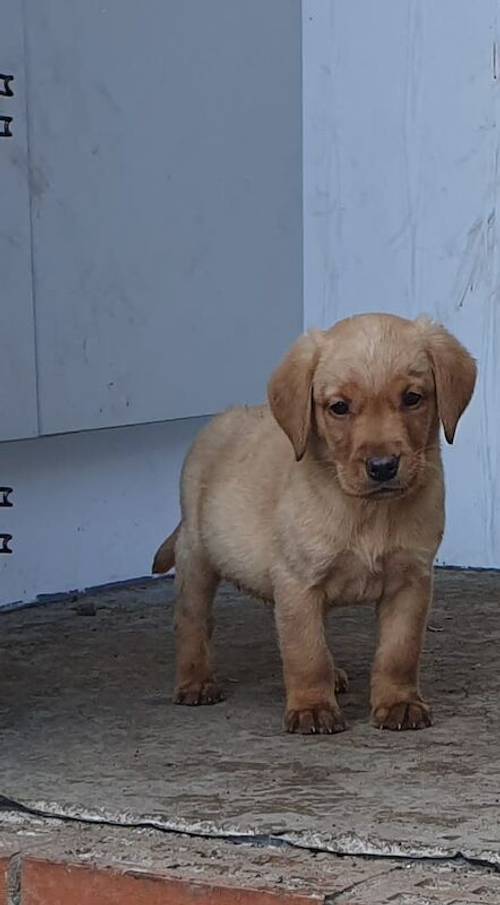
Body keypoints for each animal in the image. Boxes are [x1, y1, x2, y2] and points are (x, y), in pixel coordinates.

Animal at [152, 314, 476, 732]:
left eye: (412, 398)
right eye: (339, 407)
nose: (383, 466)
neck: (367, 511)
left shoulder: (411, 581)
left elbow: (398, 652)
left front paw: (399, 702)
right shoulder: (298, 581)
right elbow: (306, 652)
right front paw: (312, 706)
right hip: (196, 555)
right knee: (193, 622)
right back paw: (195, 681)